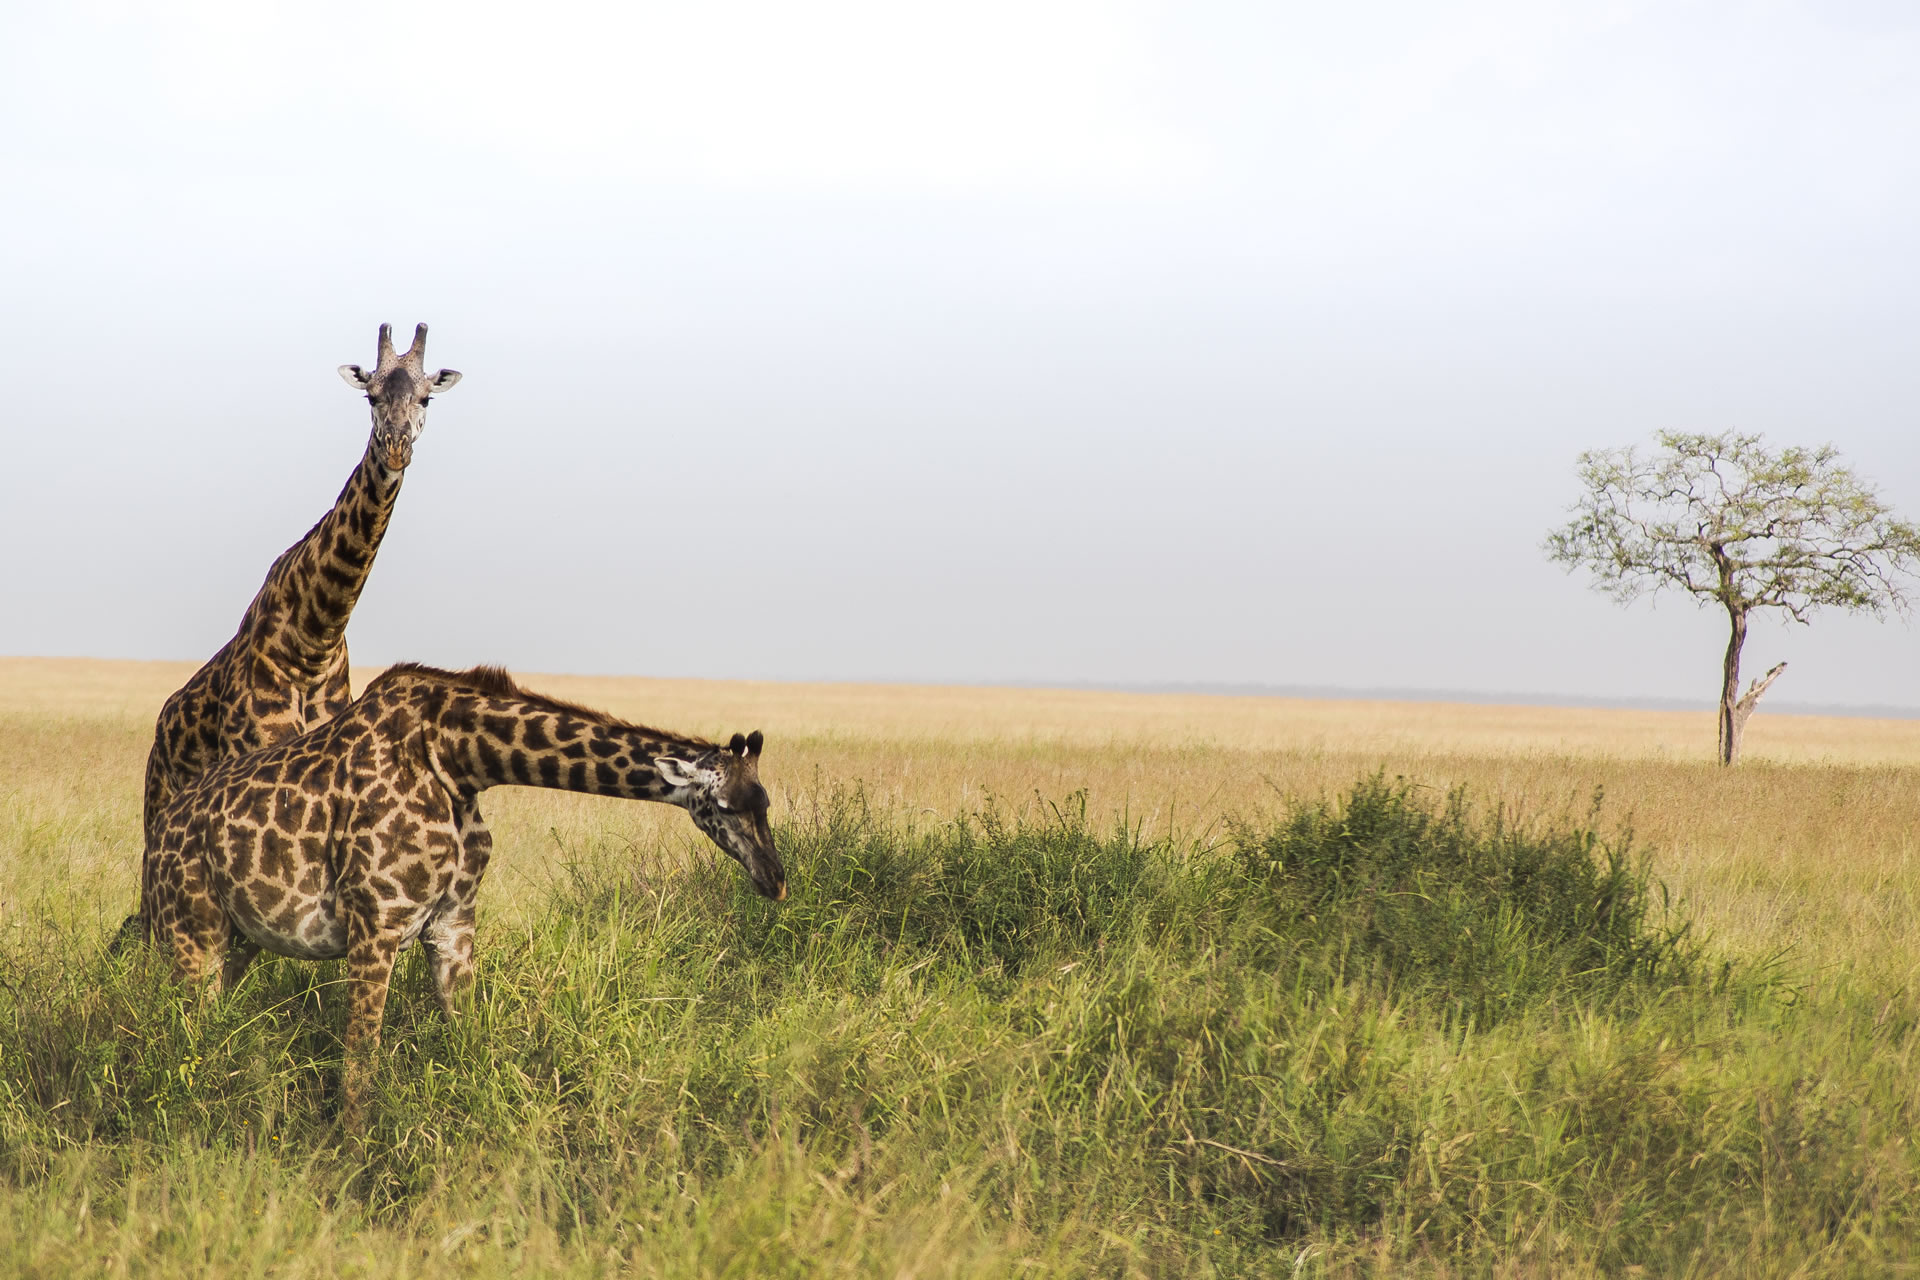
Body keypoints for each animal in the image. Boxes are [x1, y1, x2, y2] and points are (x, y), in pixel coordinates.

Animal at [139, 326, 460, 855]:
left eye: (426, 397)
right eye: (371, 396)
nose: (395, 447)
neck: (314, 637)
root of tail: (161, 731)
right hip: (158, 805)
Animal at [139, 667, 787, 1113]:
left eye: (767, 802)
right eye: (725, 806)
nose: (775, 880)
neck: (458, 759)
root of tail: (161, 832)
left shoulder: (453, 923)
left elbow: (472, 1044)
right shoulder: (376, 922)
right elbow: (359, 1070)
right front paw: (351, 1168)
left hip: (237, 939)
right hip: (189, 930)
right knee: (176, 1035)